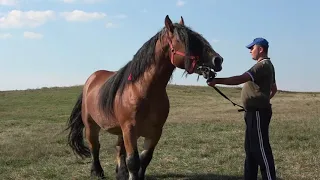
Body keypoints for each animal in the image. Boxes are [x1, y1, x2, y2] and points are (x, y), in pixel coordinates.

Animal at [66, 15, 224, 180]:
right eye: (184, 40)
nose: (218, 60)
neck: (142, 90)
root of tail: (90, 80)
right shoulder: (130, 130)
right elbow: (133, 161)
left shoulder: (155, 132)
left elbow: (145, 159)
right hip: (91, 125)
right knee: (95, 147)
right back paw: (97, 172)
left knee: (119, 149)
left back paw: (121, 173)